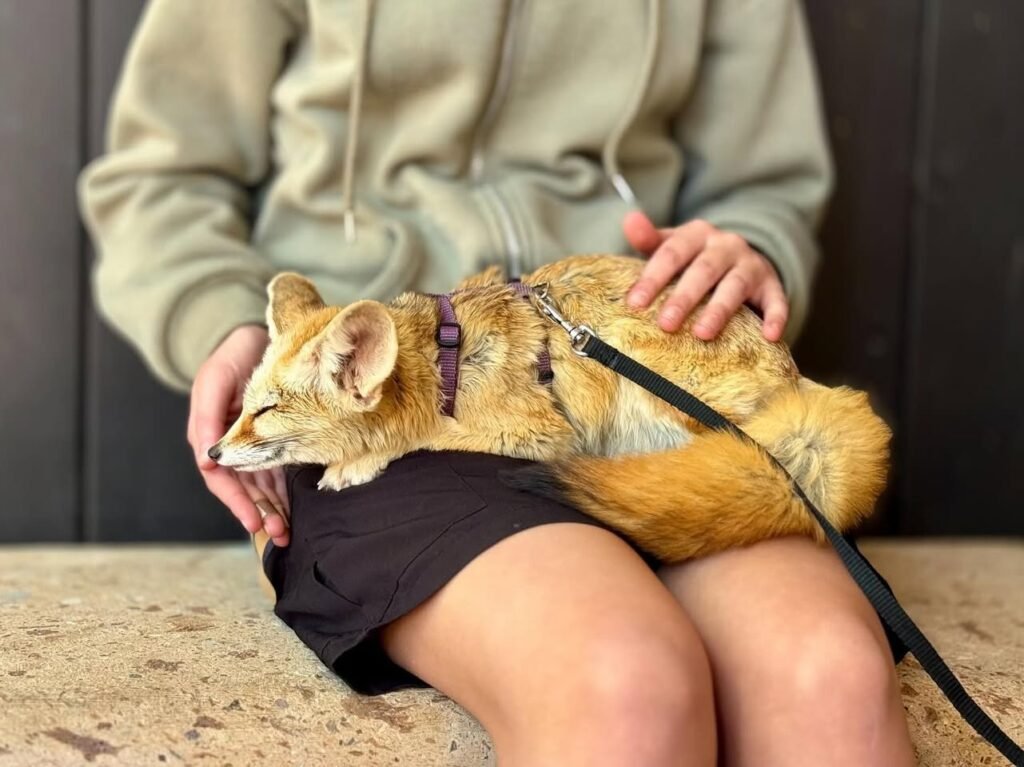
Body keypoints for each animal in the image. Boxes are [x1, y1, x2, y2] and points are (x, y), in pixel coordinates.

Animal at [211, 254, 892, 564]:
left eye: (266, 410)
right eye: (242, 407)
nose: (213, 452)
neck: (447, 364)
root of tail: (797, 377)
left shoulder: (537, 432)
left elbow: (424, 438)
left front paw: (357, 462)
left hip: (640, 370)